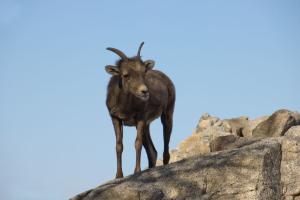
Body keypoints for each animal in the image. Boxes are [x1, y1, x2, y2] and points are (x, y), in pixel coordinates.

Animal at [105, 42, 176, 178]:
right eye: (126, 75)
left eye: (144, 73)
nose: (144, 91)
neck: (125, 106)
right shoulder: (115, 118)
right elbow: (119, 145)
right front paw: (118, 176)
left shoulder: (141, 118)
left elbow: (137, 143)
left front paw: (137, 171)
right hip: (147, 126)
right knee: (152, 151)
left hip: (167, 114)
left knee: (165, 142)